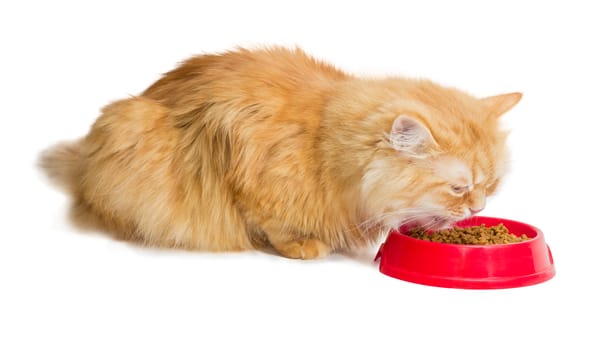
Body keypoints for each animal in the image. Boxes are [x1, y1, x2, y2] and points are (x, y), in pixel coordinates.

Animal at [39, 46, 520, 258]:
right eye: (459, 188)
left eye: (492, 186)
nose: (478, 209)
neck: (324, 147)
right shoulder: (247, 169)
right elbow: (274, 225)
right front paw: (304, 245)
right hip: (131, 128)